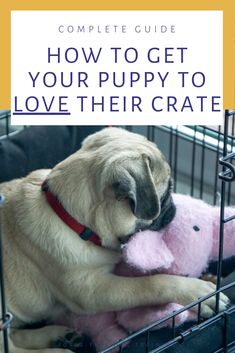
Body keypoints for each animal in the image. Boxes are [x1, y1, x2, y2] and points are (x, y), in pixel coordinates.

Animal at [0, 127, 229, 352]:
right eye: (164, 196)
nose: (173, 209)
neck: (71, 218)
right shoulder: (93, 291)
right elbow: (152, 283)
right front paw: (198, 293)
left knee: (16, 336)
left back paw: (61, 335)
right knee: (12, 346)